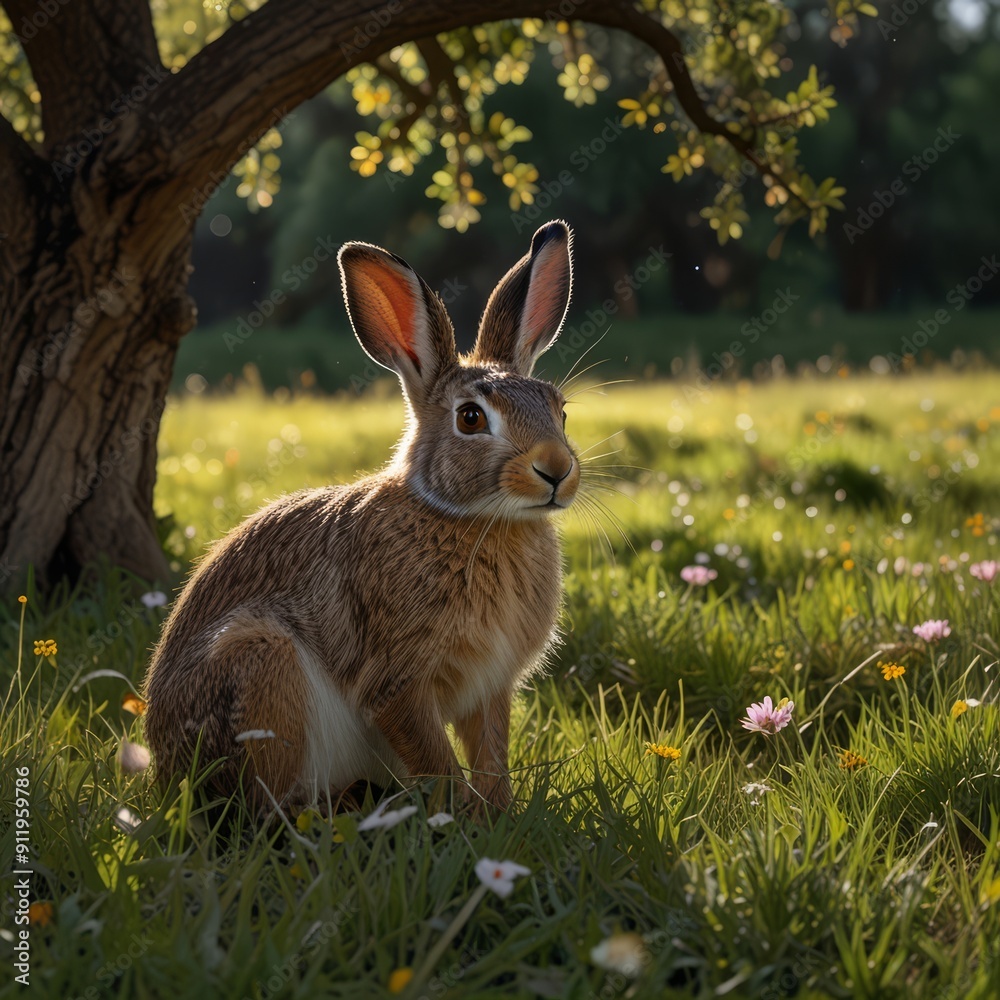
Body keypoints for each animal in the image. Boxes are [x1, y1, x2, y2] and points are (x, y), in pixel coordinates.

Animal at [142, 219, 580, 814]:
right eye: (470, 418)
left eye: (560, 410)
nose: (556, 470)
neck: (464, 516)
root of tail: (162, 768)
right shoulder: (397, 684)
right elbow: (437, 759)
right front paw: (467, 818)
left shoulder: (489, 686)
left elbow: (490, 753)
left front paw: (500, 813)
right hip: (261, 663)